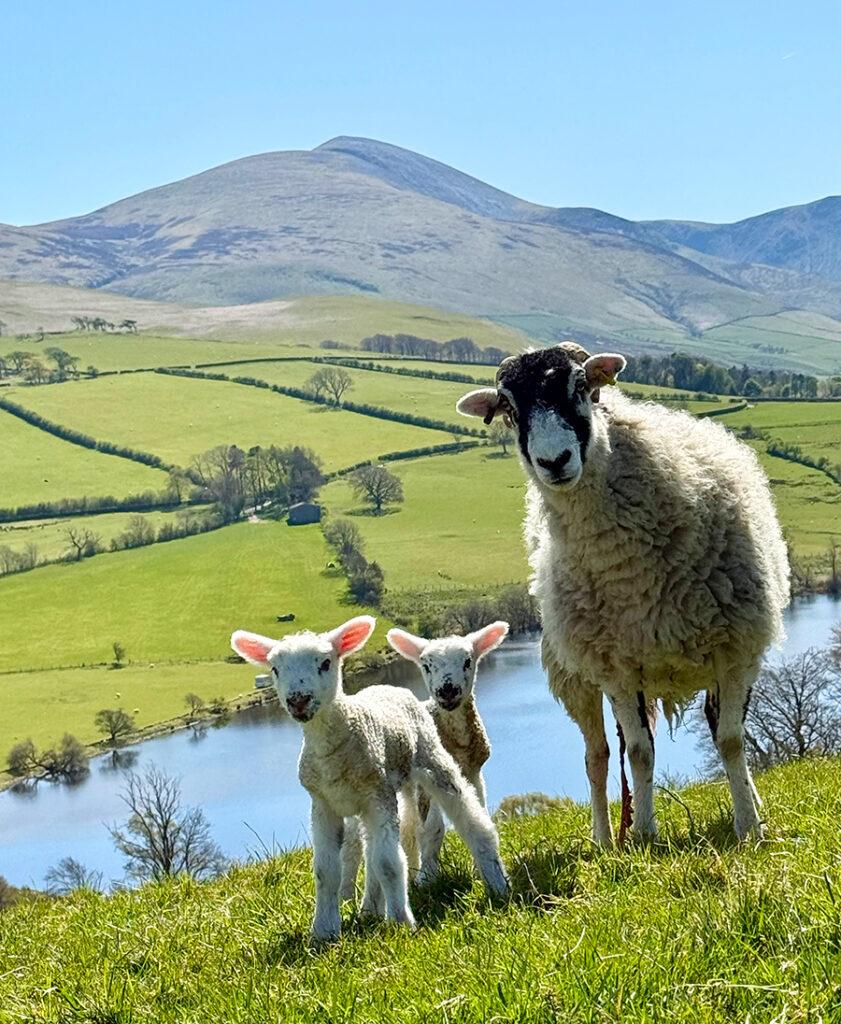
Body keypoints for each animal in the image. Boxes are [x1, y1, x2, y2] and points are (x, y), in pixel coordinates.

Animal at [230, 615, 508, 941]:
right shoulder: (323, 804)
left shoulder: (378, 795)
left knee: (470, 818)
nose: (298, 700)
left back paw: (496, 882)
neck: (335, 747)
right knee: (368, 850)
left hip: (429, 761)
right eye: (275, 669)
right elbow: (326, 870)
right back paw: (369, 909)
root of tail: (389, 686)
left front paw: (401, 923)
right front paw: (323, 931)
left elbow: (388, 863)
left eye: (325, 663)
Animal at [457, 343, 789, 843]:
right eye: (509, 409)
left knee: (718, 727)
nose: (554, 462)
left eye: (579, 385)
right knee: (597, 755)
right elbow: (639, 752)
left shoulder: (737, 650)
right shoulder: (616, 668)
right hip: (574, 674)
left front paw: (749, 827)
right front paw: (646, 836)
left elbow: (731, 740)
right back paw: (604, 838)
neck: (630, 571)